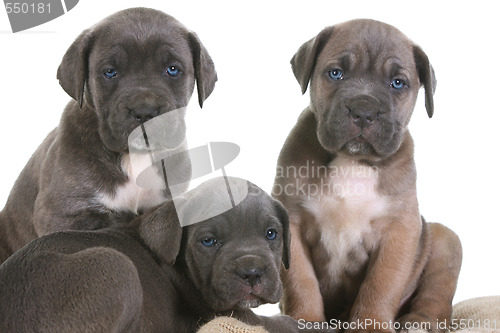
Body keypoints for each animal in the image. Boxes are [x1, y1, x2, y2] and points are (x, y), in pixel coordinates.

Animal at [0, 178, 298, 332]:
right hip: (114, 264)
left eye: (271, 234)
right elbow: (278, 323)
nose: (252, 272)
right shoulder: (228, 312)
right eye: (208, 241)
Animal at [276, 19, 462, 330]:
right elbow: (301, 281)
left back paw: (419, 323)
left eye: (397, 83)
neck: (354, 161)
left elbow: (381, 284)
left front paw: (371, 324)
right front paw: (305, 321)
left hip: (445, 239)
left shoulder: (399, 230)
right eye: (335, 73)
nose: (364, 110)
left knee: (435, 298)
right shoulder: (292, 222)